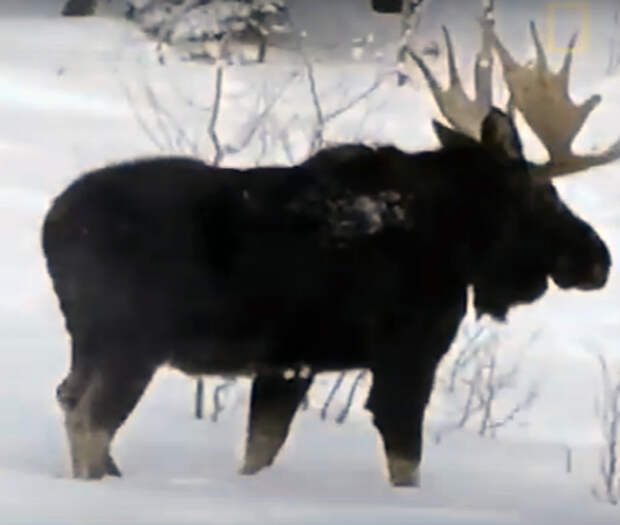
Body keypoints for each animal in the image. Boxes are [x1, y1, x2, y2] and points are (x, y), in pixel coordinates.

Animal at [44, 20, 620, 488]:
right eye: (544, 195)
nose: (598, 259)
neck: (457, 243)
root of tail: (54, 227)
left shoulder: (288, 365)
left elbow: (259, 452)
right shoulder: (407, 351)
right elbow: (405, 462)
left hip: (88, 339)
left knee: (69, 399)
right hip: (132, 336)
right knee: (91, 421)